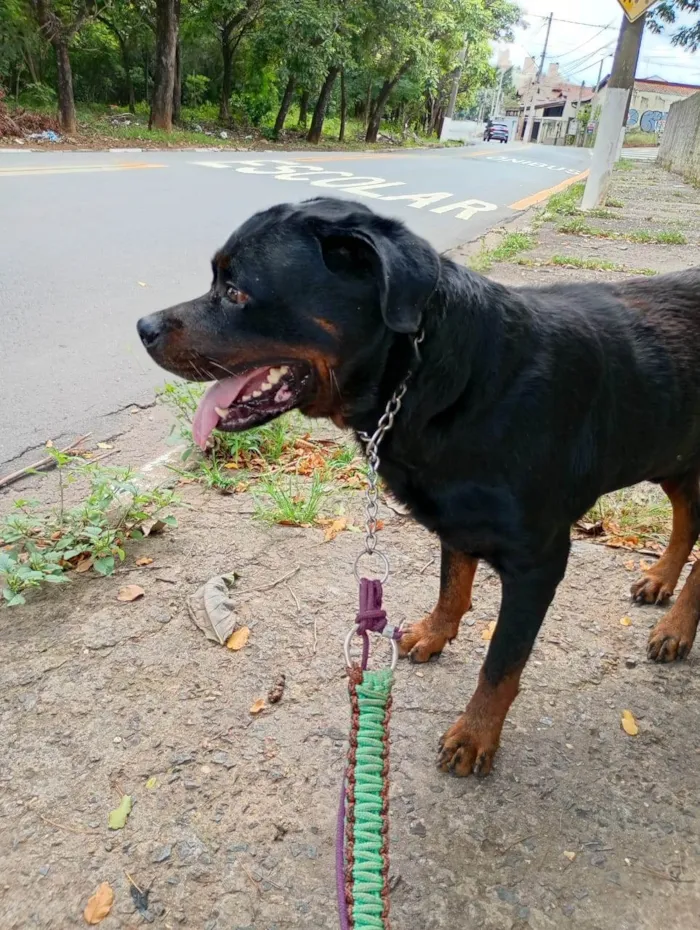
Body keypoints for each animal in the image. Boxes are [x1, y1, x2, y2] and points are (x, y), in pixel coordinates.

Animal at [137, 198, 700, 776]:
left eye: (235, 291)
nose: (143, 326)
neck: (441, 377)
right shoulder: (456, 520)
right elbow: (452, 585)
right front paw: (433, 632)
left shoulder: (539, 560)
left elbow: (502, 661)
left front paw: (475, 734)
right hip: (672, 456)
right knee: (688, 520)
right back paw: (662, 581)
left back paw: (677, 627)